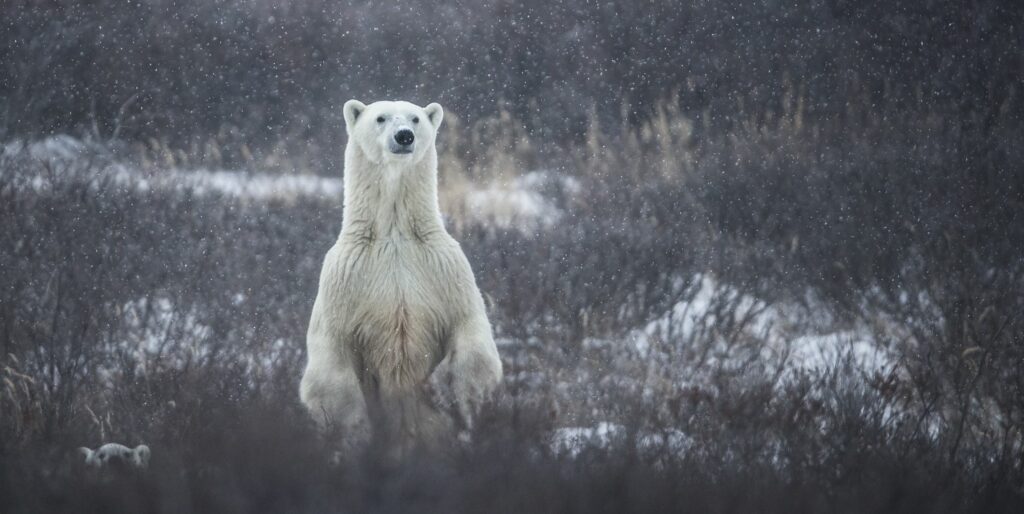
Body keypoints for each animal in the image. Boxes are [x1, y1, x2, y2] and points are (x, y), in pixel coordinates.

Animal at [299, 100, 503, 455]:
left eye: (416, 118)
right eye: (380, 117)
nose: (404, 136)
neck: (394, 233)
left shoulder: (445, 269)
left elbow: (473, 333)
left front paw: (443, 388)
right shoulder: (345, 279)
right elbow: (330, 362)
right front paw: (357, 434)